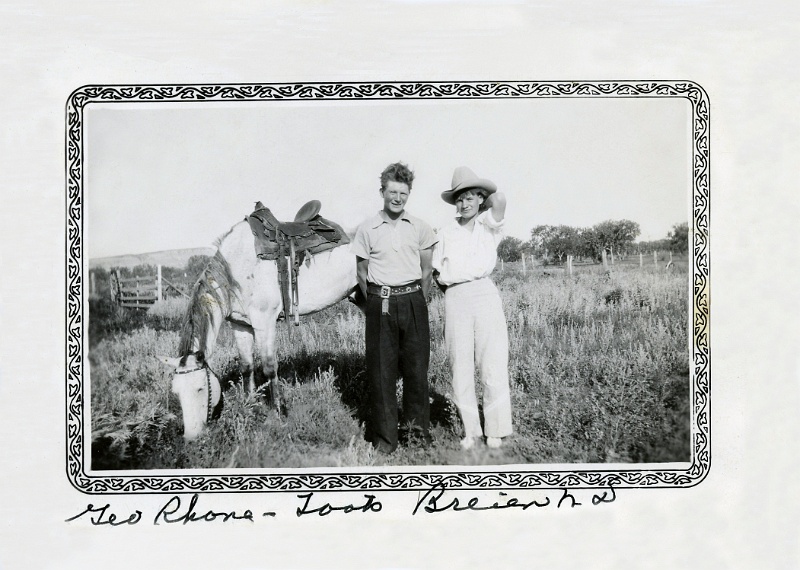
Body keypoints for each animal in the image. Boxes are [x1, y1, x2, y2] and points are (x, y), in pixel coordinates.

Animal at [158, 217, 358, 440]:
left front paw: (277, 413)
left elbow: (269, 367)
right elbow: (247, 366)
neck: (236, 269)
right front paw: (249, 403)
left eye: (200, 388)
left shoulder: (265, 321)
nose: (191, 436)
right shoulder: (240, 325)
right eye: (176, 392)